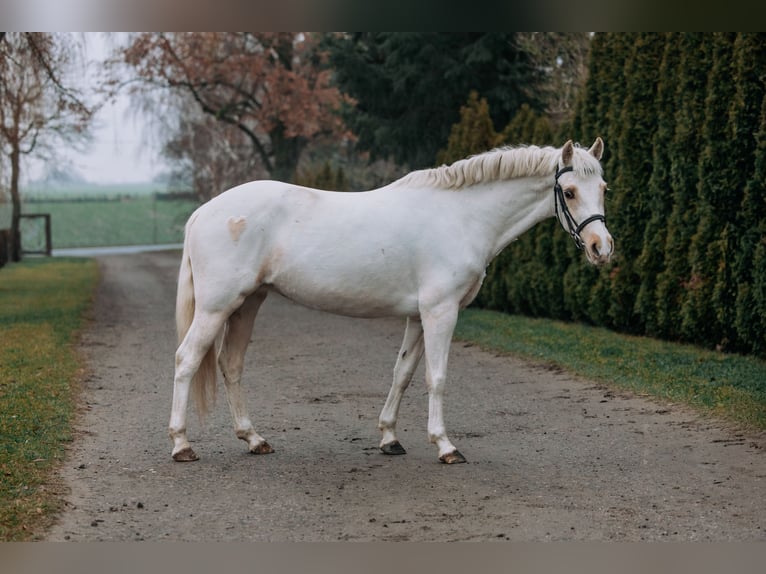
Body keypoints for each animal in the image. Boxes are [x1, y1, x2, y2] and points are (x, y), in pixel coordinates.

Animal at [169, 138, 613, 464]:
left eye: (604, 189)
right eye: (569, 192)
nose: (601, 248)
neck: (461, 217)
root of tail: (204, 212)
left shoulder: (417, 317)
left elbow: (403, 373)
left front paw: (389, 439)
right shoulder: (440, 312)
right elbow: (437, 377)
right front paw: (445, 446)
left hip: (248, 303)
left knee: (231, 364)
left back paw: (254, 439)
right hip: (217, 307)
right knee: (187, 359)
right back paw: (181, 445)